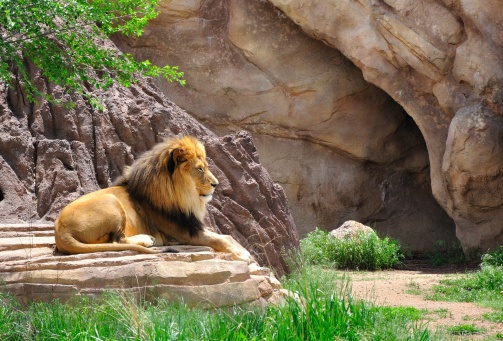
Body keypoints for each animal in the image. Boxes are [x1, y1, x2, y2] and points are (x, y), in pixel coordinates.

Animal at [54, 134, 252, 262]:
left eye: (206, 167)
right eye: (200, 169)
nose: (216, 184)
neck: (182, 197)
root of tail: (61, 231)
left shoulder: (191, 225)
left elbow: (228, 236)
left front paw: (244, 251)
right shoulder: (184, 233)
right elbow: (219, 239)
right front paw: (242, 255)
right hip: (110, 200)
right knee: (117, 240)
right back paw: (148, 239)